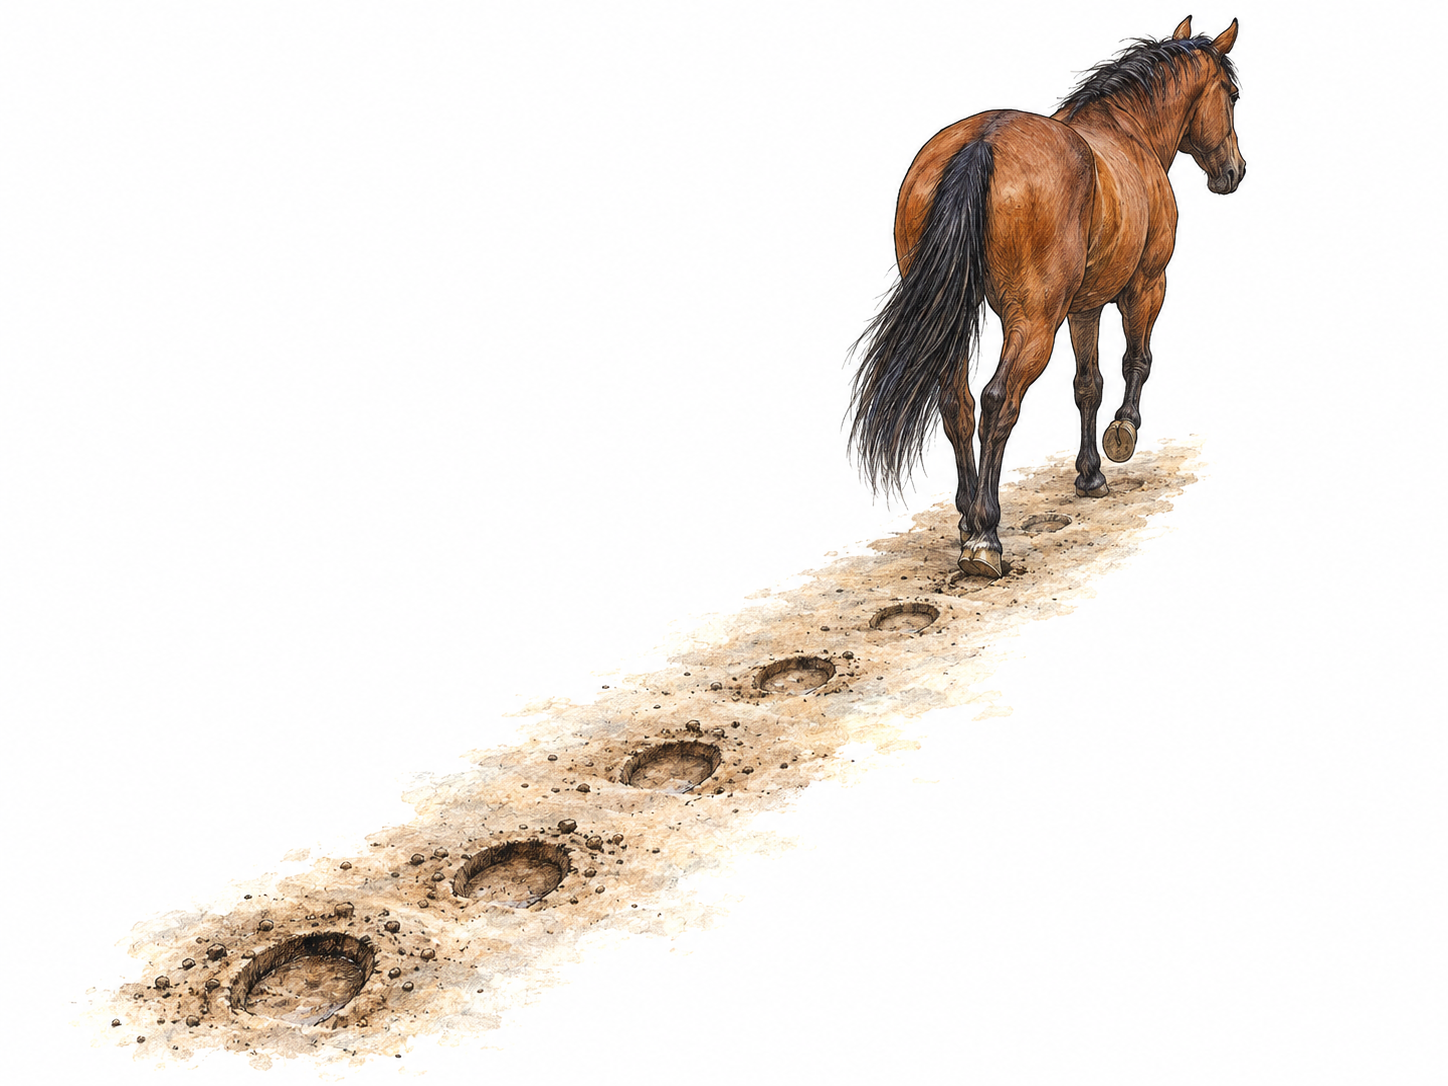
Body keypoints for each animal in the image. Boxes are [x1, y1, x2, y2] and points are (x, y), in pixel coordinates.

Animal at [849, 17, 1245, 578]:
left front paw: (1090, 475)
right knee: (998, 401)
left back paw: (967, 517)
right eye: (1232, 95)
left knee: (957, 403)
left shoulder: (1084, 307)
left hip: (956, 321)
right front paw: (1122, 434)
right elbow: (1136, 362)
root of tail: (983, 139)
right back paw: (986, 536)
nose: (1234, 171)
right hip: (1036, 321)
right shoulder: (1147, 285)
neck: (1130, 133)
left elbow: (1087, 385)